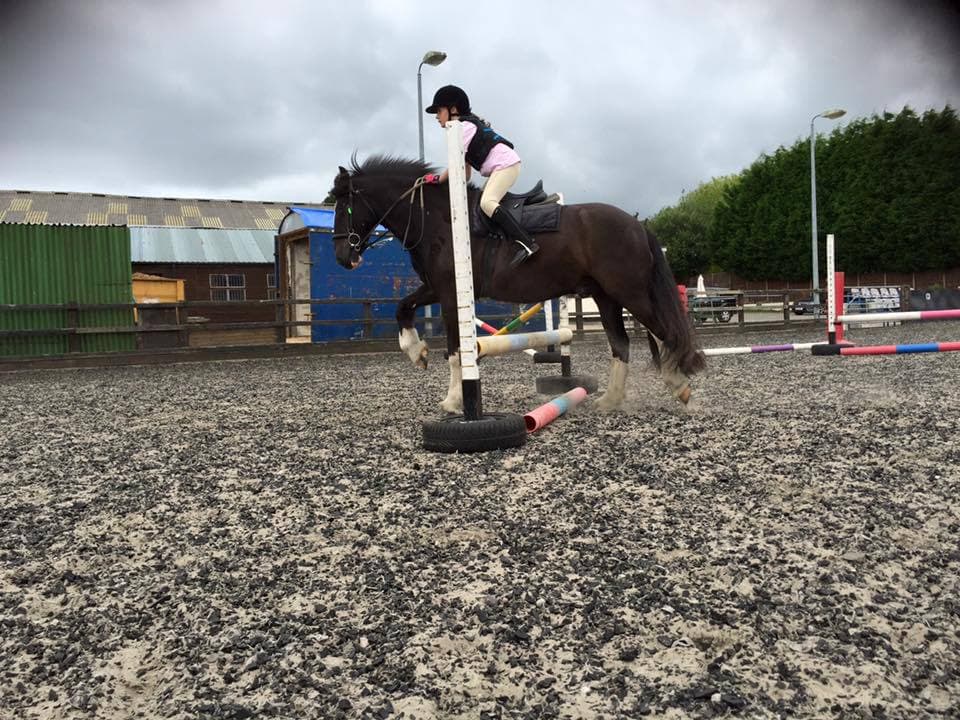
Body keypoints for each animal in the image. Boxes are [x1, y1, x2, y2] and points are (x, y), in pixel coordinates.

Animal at [330, 156, 705, 413]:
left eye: (345, 205)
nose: (343, 257)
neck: (438, 220)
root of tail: (636, 223)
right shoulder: (436, 288)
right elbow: (401, 307)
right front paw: (416, 352)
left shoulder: (451, 294)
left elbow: (455, 351)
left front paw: (453, 400)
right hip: (607, 297)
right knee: (621, 343)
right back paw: (611, 400)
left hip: (629, 292)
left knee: (663, 332)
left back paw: (679, 386)